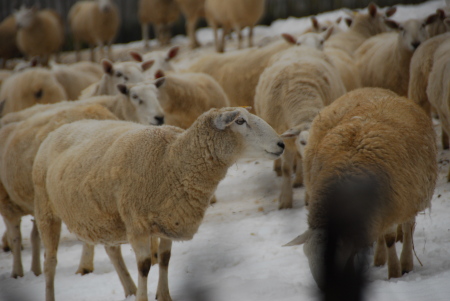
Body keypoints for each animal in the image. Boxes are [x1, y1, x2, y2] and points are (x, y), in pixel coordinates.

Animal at [0, 81, 166, 276]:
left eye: (157, 94)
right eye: (135, 97)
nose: (159, 118)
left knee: (30, 235)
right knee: (18, 235)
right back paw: (20, 270)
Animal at [33, 106, 284, 300]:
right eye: (240, 121)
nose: (281, 144)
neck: (170, 159)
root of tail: (58, 130)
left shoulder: (169, 218)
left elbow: (164, 260)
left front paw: (164, 296)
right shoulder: (137, 224)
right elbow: (144, 266)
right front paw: (143, 298)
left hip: (106, 218)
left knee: (112, 250)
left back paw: (129, 289)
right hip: (46, 211)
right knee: (49, 263)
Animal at [255, 32, 346, 209]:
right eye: (303, 142)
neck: (304, 104)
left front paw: (308, 198)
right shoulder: (285, 141)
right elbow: (286, 169)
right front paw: (285, 199)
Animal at [284, 86, 436, 286]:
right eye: (308, 257)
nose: (325, 287)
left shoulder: (393, 204)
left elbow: (389, 239)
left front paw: (395, 273)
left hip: (410, 195)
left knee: (407, 228)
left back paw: (406, 263)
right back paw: (380, 259)